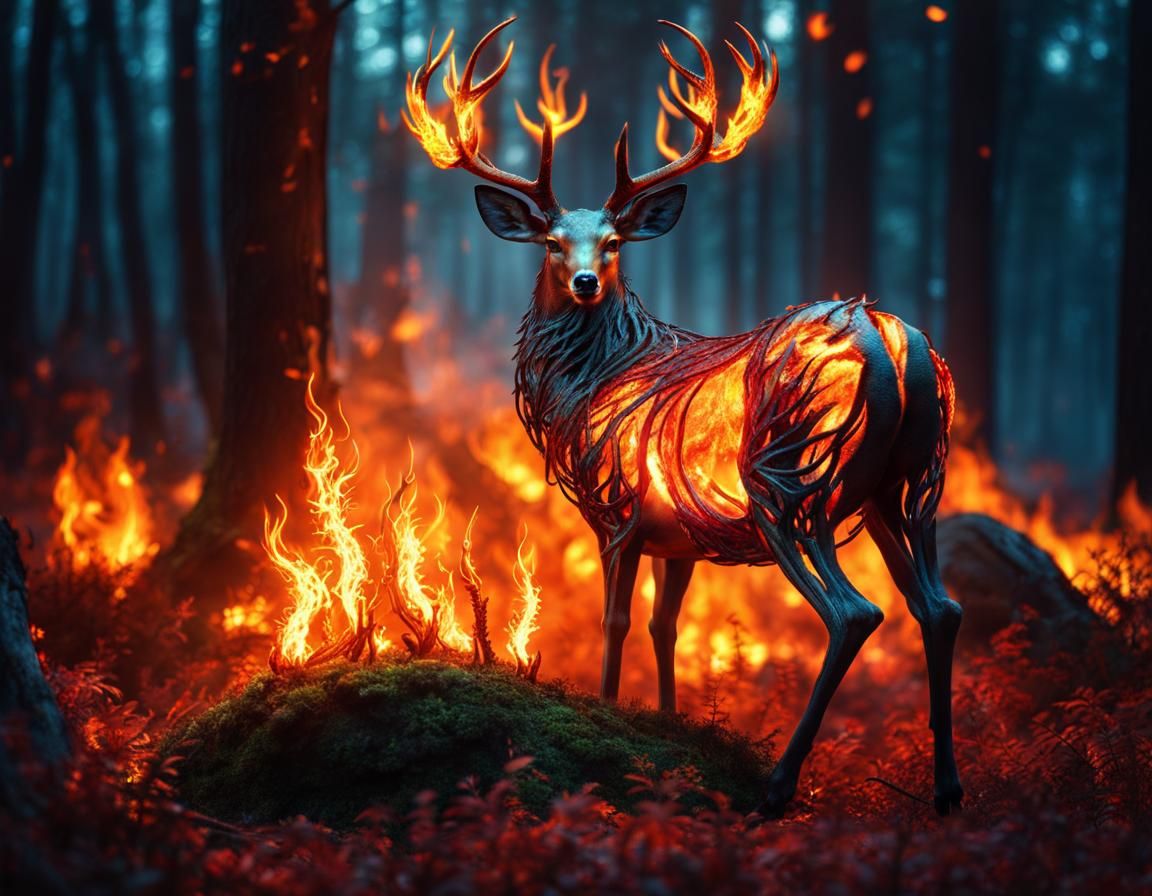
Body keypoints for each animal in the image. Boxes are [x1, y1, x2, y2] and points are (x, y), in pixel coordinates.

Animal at [403, 17, 963, 817]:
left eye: (612, 243)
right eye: (552, 242)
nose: (584, 281)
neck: (587, 382)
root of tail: (893, 342)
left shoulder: (617, 511)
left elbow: (615, 622)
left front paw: (608, 717)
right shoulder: (681, 534)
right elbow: (665, 626)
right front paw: (671, 732)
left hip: (790, 482)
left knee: (854, 613)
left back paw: (778, 786)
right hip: (904, 486)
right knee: (939, 607)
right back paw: (947, 788)